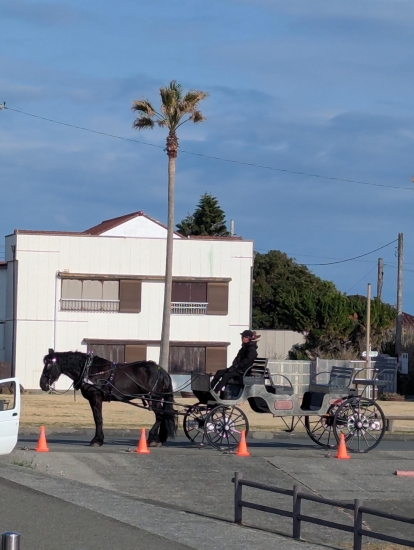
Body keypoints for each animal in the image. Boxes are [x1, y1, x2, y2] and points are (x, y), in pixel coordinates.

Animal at [39, 349, 177, 447]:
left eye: (49, 366)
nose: (42, 384)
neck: (89, 370)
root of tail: (162, 371)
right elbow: (97, 419)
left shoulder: (95, 397)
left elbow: (98, 419)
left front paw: (97, 440)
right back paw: (157, 438)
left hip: (154, 397)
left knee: (160, 415)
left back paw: (153, 438)